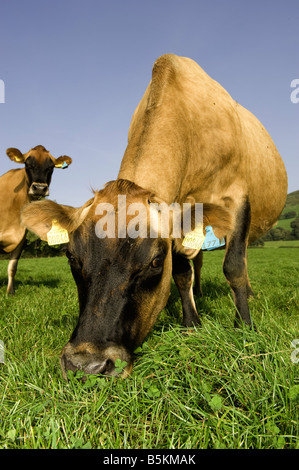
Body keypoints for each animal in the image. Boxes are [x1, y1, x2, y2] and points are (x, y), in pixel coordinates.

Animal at [0, 147, 72, 294]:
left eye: (50, 167)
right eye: (27, 164)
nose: (39, 188)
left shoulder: (21, 238)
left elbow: (12, 266)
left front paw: (10, 293)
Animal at [21, 55, 288, 378]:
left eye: (155, 262)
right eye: (71, 257)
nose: (86, 364)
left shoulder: (237, 197)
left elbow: (234, 266)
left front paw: (244, 329)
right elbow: (182, 274)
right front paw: (192, 325)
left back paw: (247, 295)